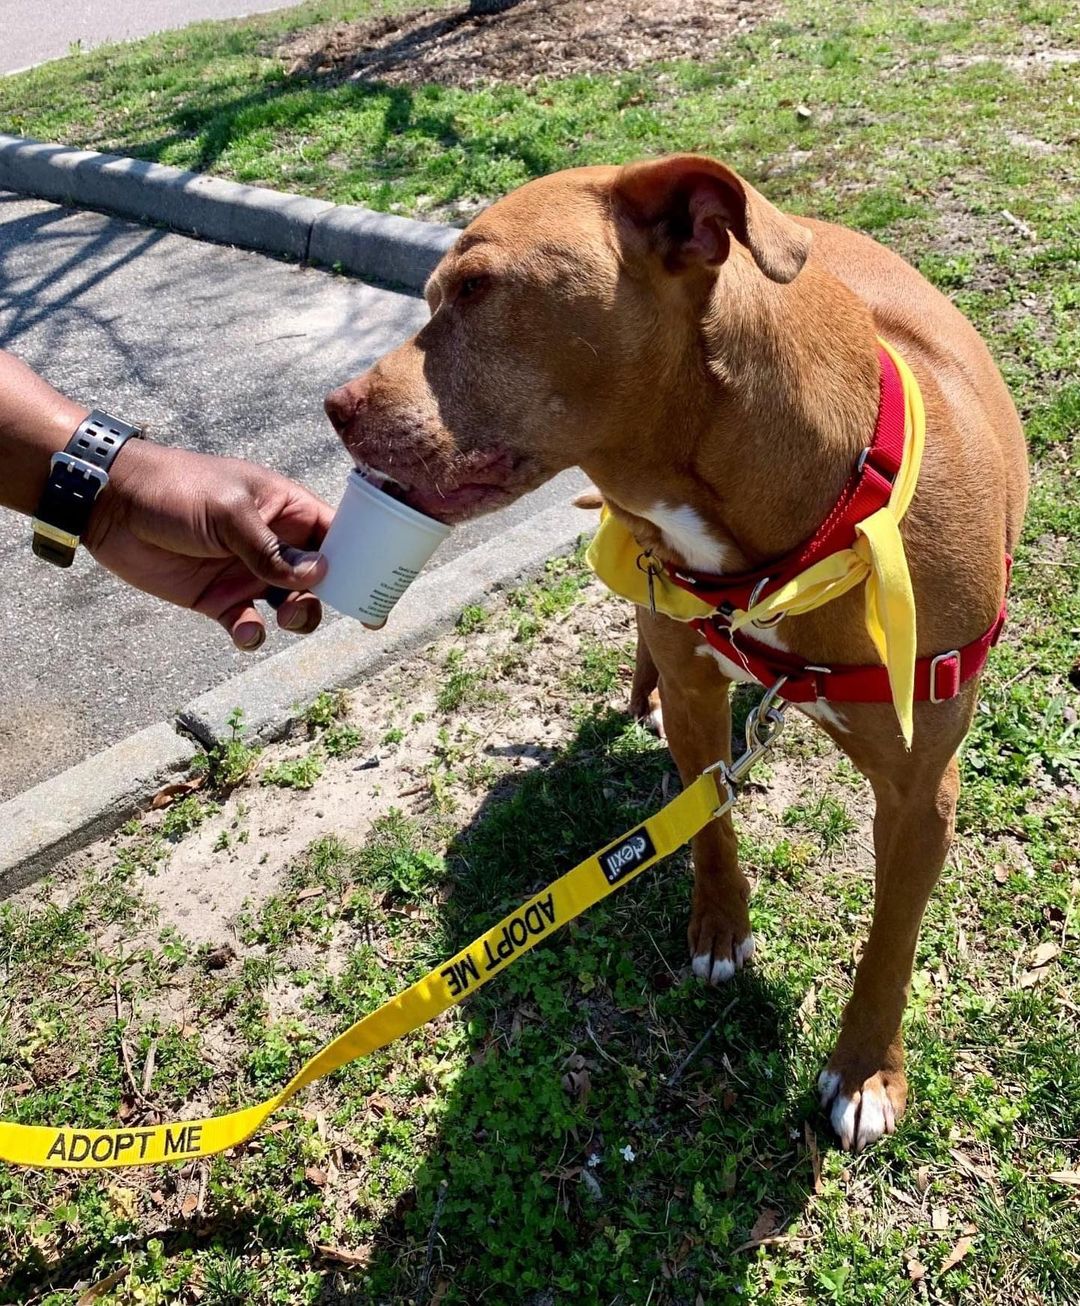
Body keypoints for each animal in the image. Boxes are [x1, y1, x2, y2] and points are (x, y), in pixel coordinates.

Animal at [322, 155, 1029, 1154]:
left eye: (475, 288)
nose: (335, 410)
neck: (800, 540)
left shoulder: (920, 791)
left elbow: (891, 939)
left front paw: (865, 1071)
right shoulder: (701, 693)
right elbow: (708, 828)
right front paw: (719, 929)